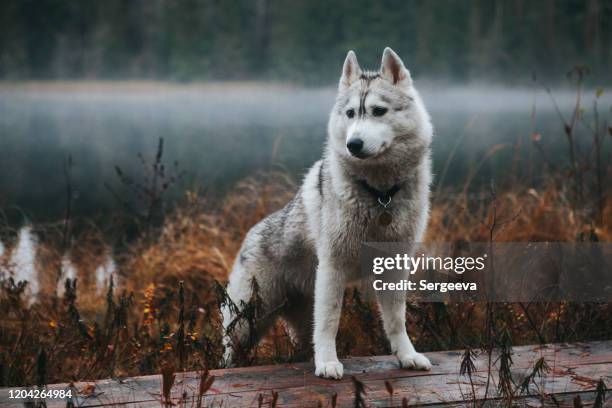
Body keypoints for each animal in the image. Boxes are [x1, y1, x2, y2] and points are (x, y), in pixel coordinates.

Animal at [222, 47, 432, 380]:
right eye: (351, 114)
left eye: (378, 111)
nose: (353, 144)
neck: (379, 195)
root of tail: (251, 234)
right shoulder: (333, 268)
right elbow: (329, 322)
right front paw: (328, 363)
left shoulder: (395, 268)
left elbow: (396, 320)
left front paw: (407, 356)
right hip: (246, 322)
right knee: (231, 351)